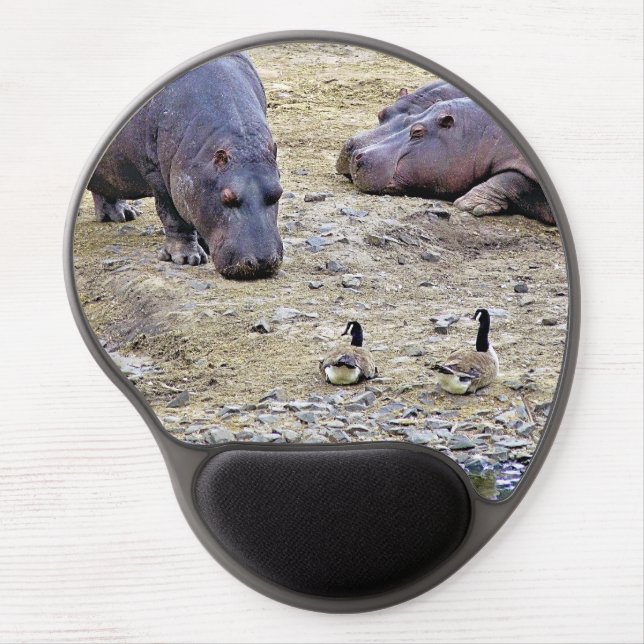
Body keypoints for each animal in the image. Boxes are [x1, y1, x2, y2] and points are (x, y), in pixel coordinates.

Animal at [88, 54, 284, 279]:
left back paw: (121, 216)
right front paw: (187, 258)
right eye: (227, 197)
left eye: (278, 193)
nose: (262, 262)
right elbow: (173, 215)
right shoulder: (159, 176)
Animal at [349, 97, 554, 224]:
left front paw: (468, 203)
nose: (357, 154)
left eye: (417, 132)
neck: (479, 132)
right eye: (410, 119)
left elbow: (511, 179)